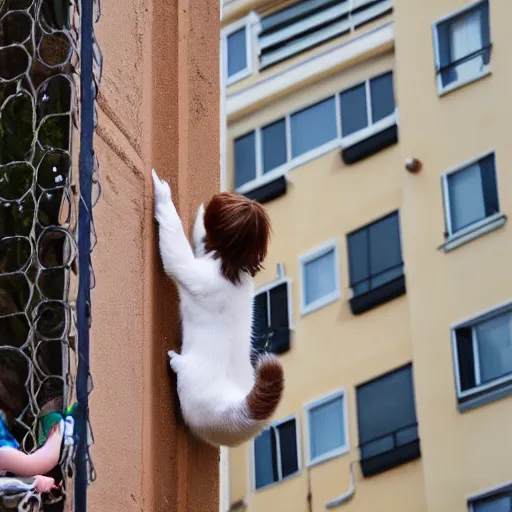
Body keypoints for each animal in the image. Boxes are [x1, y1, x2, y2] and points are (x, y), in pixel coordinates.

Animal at [152, 170, 286, 446]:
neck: (232, 267)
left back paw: (175, 361)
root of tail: (237, 406)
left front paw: (162, 194)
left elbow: (175, 253)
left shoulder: (197, 272)